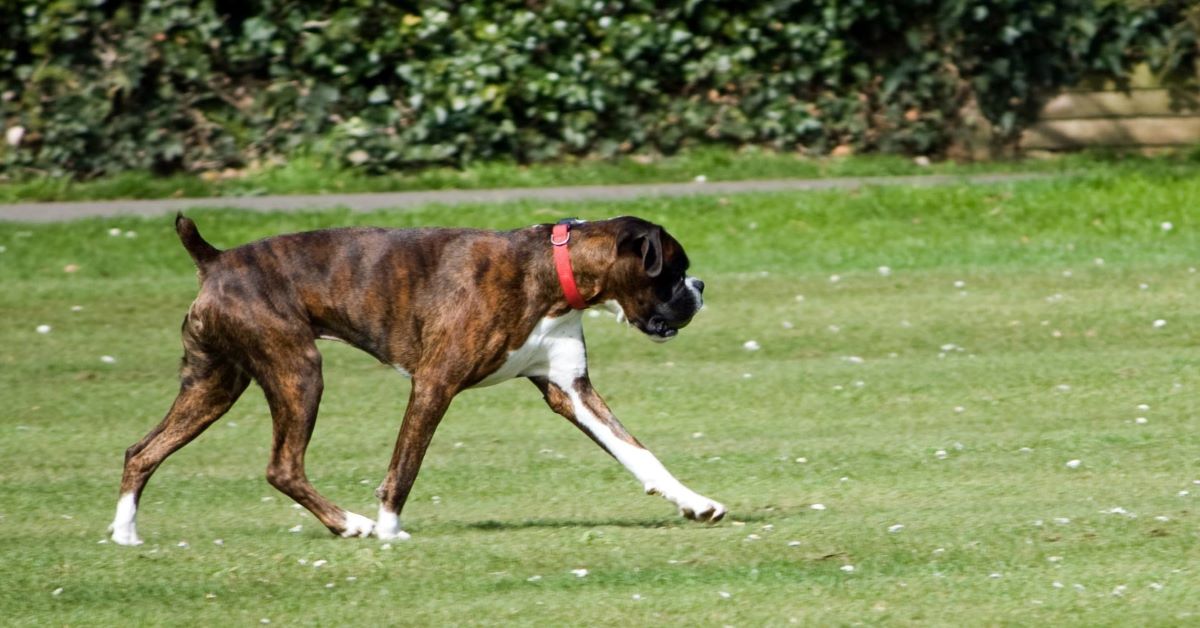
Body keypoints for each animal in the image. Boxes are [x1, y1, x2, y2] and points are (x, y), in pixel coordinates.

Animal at [112, 212, 724, 545]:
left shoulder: (571, 392)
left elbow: (639, 454)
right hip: (298, 371)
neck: (549, 274)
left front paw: (694, 503)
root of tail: (216, 260)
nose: (699, 287)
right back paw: (350, 525)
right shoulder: (434, 383)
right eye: (673, 270)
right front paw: (388, 529)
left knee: (142, 451)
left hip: (214, 385)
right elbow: (405, 466)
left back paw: (125, 534)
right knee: (282, 466)